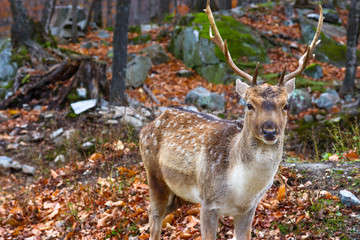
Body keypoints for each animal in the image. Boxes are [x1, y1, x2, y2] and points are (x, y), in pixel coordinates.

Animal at [139, 0, 324, 239]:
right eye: (249, 104)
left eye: (286, 105)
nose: (270, 131)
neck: (240, 191)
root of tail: (147, 126)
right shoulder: (208, 203)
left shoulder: (249, 209)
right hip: (153, 174)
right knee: (153, 214)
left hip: (180, 192)